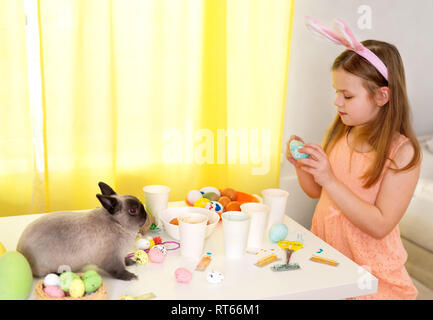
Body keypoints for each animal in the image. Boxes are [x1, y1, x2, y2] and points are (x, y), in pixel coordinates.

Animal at [16, 181, 148, 282]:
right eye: (132, 210)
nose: (146, 215)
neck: (117, 224)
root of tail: (20, 251)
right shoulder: (111, 260)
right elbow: (118, 270)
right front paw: (131, 277)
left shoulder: (119, 255)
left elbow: (124, 261)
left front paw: (130, 261)